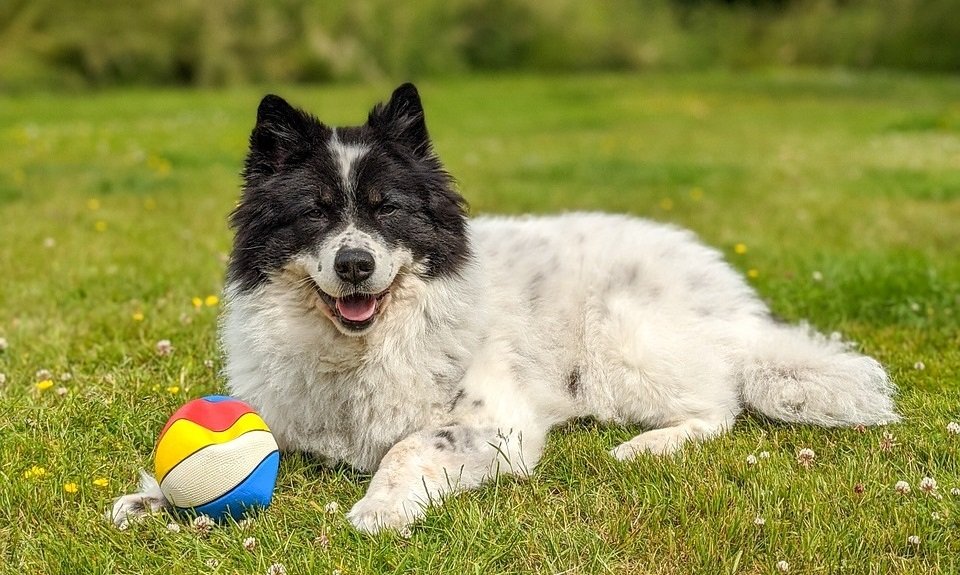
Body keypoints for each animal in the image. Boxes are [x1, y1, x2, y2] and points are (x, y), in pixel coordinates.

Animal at [112, 83, 900, 532]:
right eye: (316, 213)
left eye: (386, 209)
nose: (354, 264)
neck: (364, 347)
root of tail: (736, 302)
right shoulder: (287, 414)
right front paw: (157, 499)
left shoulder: (492, 425)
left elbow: (408, 447)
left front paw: (378, 508)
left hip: (620, 344)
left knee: (720, 405)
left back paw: (644, 446)